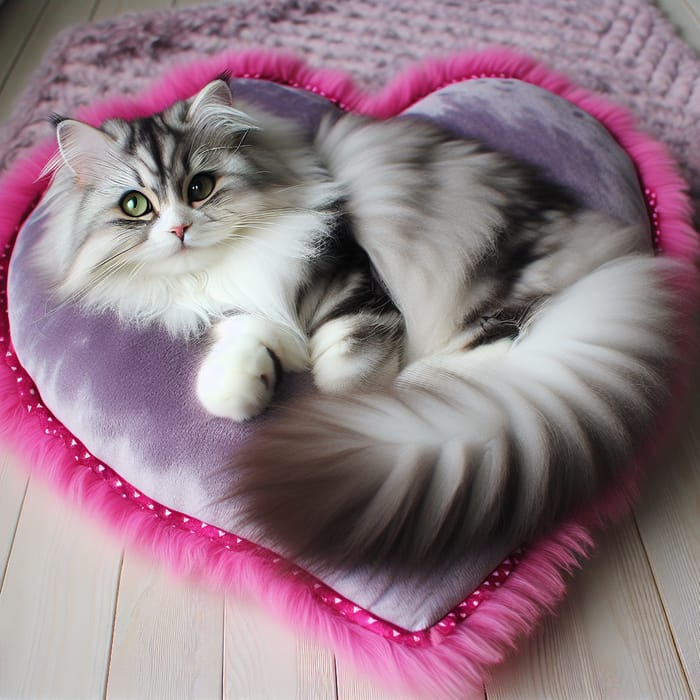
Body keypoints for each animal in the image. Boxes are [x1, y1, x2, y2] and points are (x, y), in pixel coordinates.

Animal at [35, 79, 680, 568]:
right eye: (135, 205)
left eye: (200, 187)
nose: (179, 229)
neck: (224, 270)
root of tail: (622, 267)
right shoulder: (243, 309)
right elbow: (248, 340)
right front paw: (242, 390)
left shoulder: (352, 279)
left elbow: (344, 373)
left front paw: (344, 410)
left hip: (498, 288)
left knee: (504, 343)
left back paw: (420, 393)